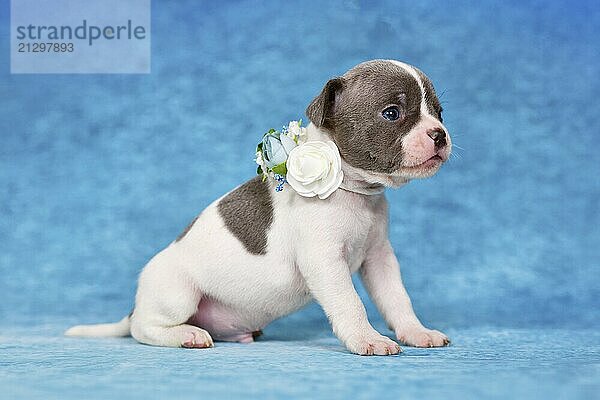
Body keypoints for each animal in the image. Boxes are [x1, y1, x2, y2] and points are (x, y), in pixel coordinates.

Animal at [67, 57, 450, 354]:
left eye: (440, 113)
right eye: (392, 113)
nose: (440, 134)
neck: (352, 191)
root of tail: (135, 307)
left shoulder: (379, 259)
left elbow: (397, 299)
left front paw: (416, 332)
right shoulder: (325, 262)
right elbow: (350, 303)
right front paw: (366, 339)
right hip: (177, 294)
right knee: (143, 329)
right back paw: (186, 334)